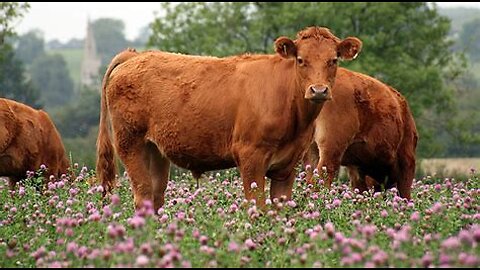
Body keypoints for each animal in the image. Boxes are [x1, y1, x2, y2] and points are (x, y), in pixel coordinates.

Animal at [95, 25, 362, 211]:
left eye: (333, 60)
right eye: (300, 60)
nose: (318, 90)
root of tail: (135, 56)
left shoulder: (288, 165)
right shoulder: (251, 157)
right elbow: (258, 209)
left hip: (155, 150)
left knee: (155, 197)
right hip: (131, 144)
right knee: (142, 196)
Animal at [302, 68, 418, 199]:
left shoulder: (356, 170)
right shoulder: (407, 162)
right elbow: (405, 194)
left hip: (312, 151)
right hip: (331, 148)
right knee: (321, 178)